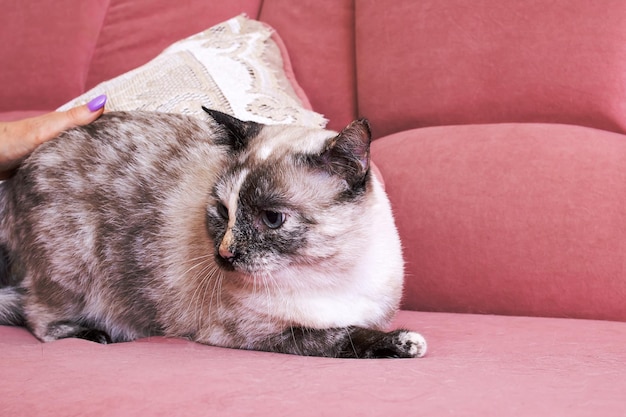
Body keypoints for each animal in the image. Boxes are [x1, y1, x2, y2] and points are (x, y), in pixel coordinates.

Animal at [0, 109, 426, 360]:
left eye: (272, 219)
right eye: (223, 212)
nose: (225, 254)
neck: (327, 274)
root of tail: (21, 171)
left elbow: (356, 329)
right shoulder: (260, 333)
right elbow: (342, 338)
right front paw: (404, 343)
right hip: (71, 269)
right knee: (40, 318)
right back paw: (96, 335)